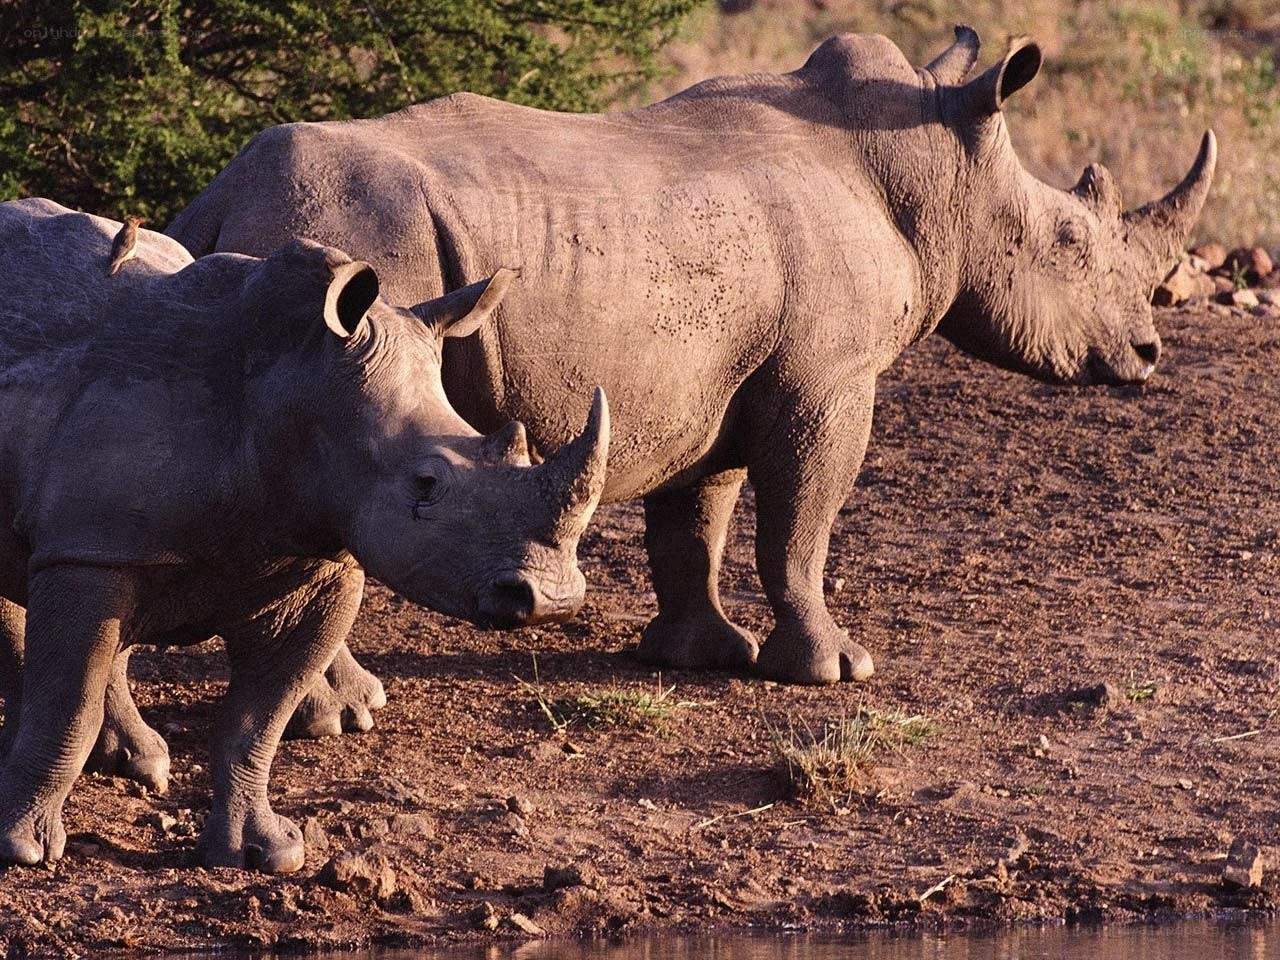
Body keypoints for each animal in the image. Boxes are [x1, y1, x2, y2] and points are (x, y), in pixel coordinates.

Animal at [0, 199, 608, 870]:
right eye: (425, 485)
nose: (554, 600)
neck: (295, 387)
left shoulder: (320, 563)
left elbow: (258, 721)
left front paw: (266, 853)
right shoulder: (91, 547)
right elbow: (67, 706)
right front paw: (22, 850)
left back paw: (135, 763)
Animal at [165, 26, 1214, 703]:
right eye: (1070, 241)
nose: (1149, 353)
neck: (932, 174)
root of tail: (219, 199)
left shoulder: (705, 376)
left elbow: (695, 519)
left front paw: (696, 657)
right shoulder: (828, 381)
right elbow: (803, 521)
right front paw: (835, 670)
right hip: (356, 246)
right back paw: (344, 710)